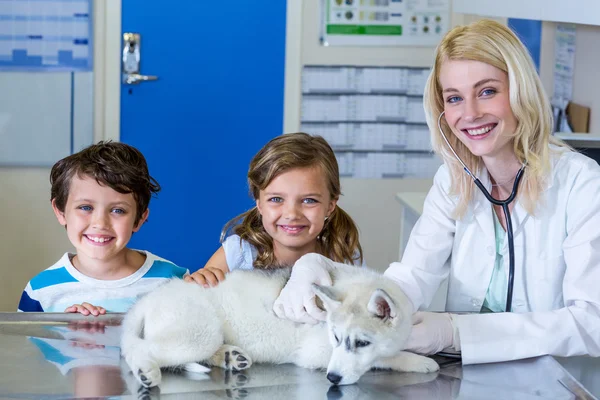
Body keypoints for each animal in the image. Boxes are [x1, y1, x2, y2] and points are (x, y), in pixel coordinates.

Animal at [122, 260, 438, 386]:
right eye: (336, 337)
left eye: (362, 342)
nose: (332, 379)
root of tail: (146, 300)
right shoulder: (315, 351)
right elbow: (384, 358)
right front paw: (416, 360)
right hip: (199, 331)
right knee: (139, 350)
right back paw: (146, 372)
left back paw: (230, 356)